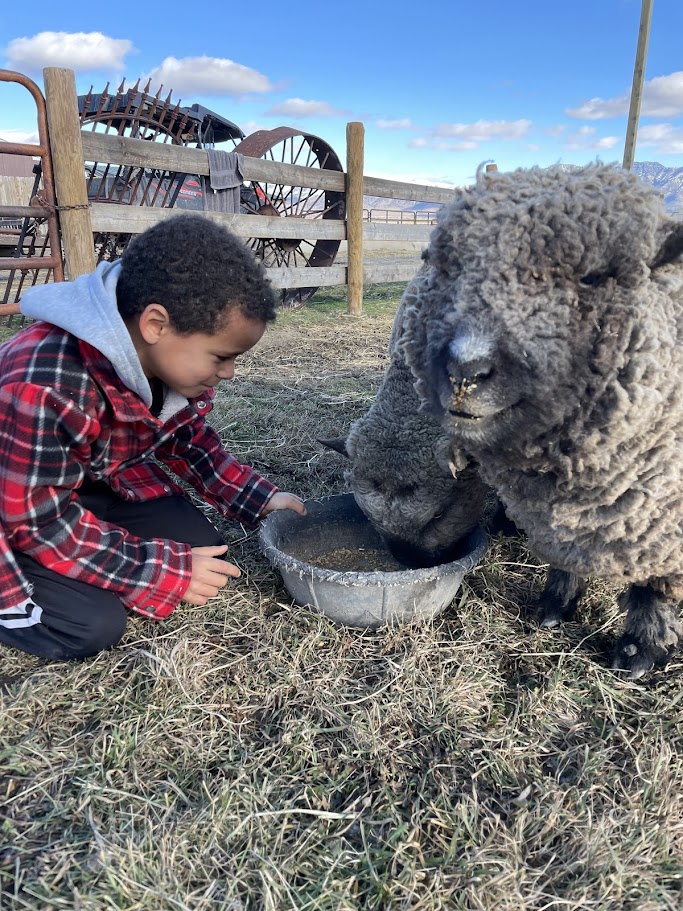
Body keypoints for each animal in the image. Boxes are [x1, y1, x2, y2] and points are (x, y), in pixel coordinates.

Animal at [398, 161, 683, 678]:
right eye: (449, 268)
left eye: (593, 277)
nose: (465, 372)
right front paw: (555, 606)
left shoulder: (667, 508)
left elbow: (657, 579)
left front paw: (641, 648)